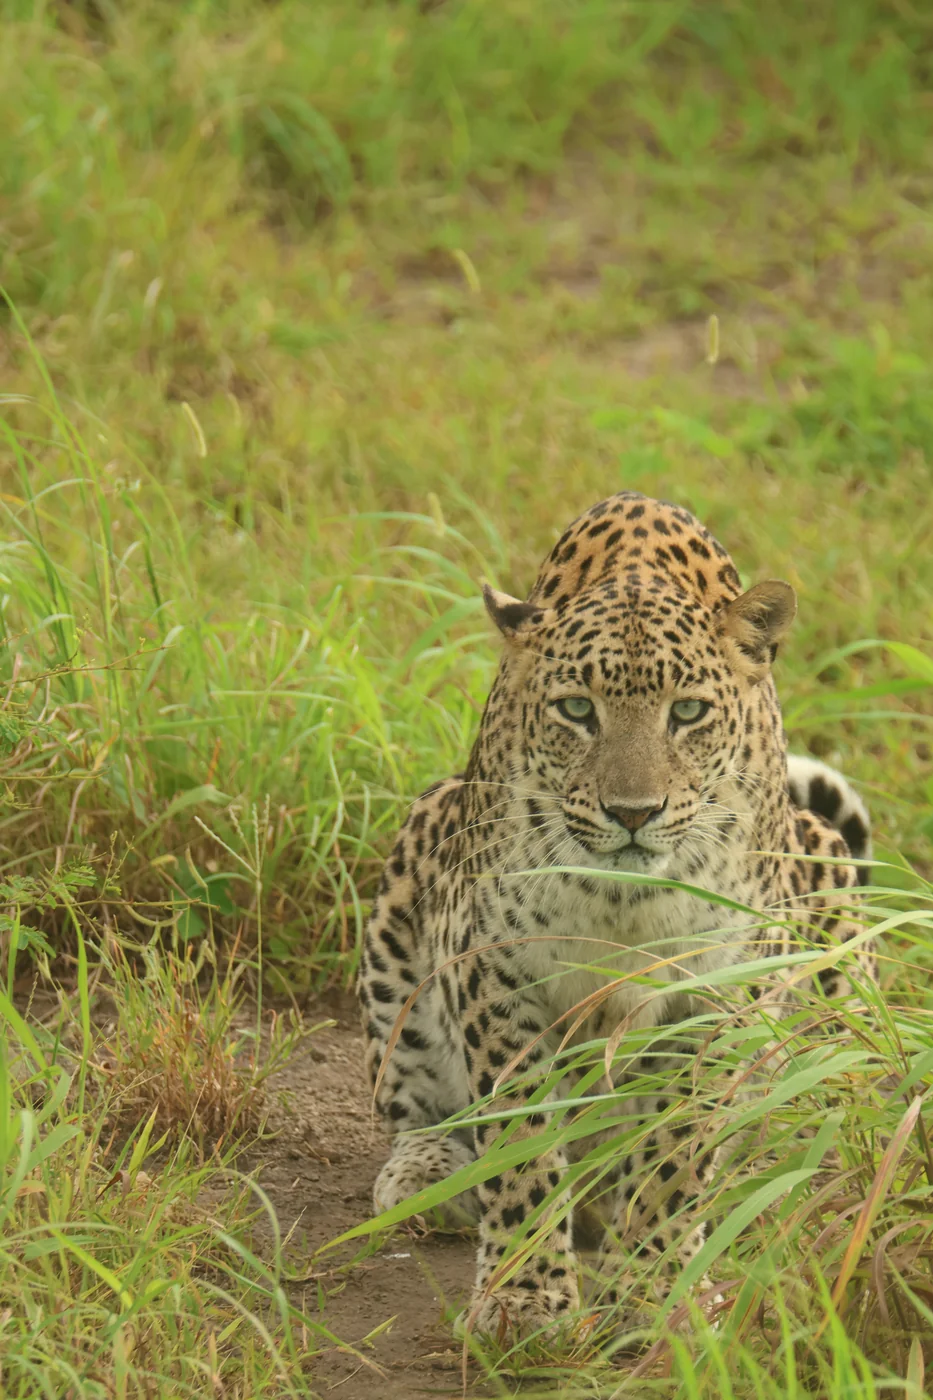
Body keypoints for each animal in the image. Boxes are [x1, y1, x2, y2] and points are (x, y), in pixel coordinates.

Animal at [357, 491, 873, 1343]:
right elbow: (523, 1141)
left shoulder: (715, 991)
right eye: (576, 710)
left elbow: (676, 1152)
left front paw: (665, 1290)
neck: (625, 903)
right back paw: (429, 1176)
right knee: (410, 1096)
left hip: (828, 887)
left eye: (687, 712)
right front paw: (525, 1294)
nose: (633, 812)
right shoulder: (499, 973)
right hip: (413, 876)